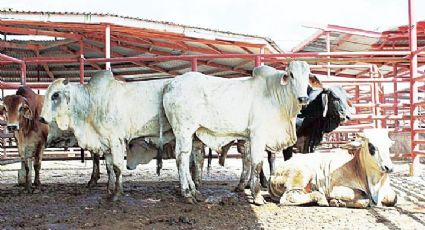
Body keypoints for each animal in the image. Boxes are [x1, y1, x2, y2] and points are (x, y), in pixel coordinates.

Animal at [39, 71, 203, 200]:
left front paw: (117, 193)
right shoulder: (105, 144)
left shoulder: (115, 140)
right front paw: (109, 190)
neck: (91, 103)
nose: (41, 118)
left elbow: (117, 167)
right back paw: (194, 189)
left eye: (55, 95)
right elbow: (109, 168)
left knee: (188, 160)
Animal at [161, 61, 318, 205]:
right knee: (181, 158)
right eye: (291, 74)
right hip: (183, 130)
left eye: (307, 76)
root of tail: (171, 84)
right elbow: (257, 164)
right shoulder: (257, 135)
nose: (303, 98)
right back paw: (187, 193)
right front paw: (257, 196)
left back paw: (195, 192)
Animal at [268, 129, 398, 208]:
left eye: (389, 145)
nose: (389, 167)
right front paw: (336, 201)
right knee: (289, 197)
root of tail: (274, 174)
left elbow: (394, 198)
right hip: (301, 176)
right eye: (371, 146)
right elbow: (364, 197)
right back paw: (321, 198)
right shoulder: (333, 189)